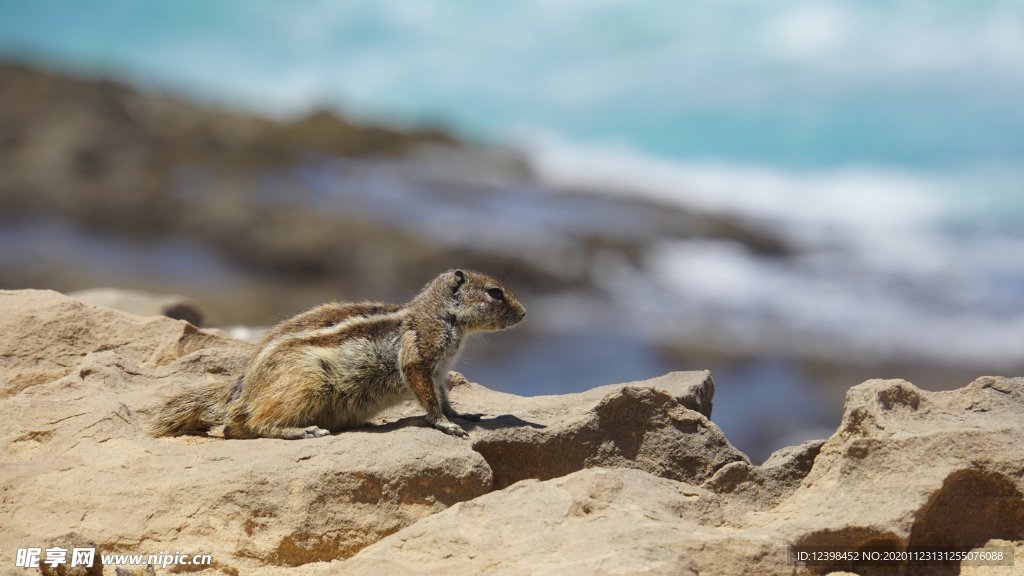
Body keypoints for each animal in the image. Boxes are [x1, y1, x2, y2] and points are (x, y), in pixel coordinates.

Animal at [148, 270, 524, 436]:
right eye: (495, 292)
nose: (523, 314)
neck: (439, 314)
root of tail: (242, 389)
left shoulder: (441, 372)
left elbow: (444, 396)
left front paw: (462, 414)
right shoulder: (419, 357)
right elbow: (428, 399)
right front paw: (446, 425)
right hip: (302, 385)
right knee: (254, 422)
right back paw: (300, 431)